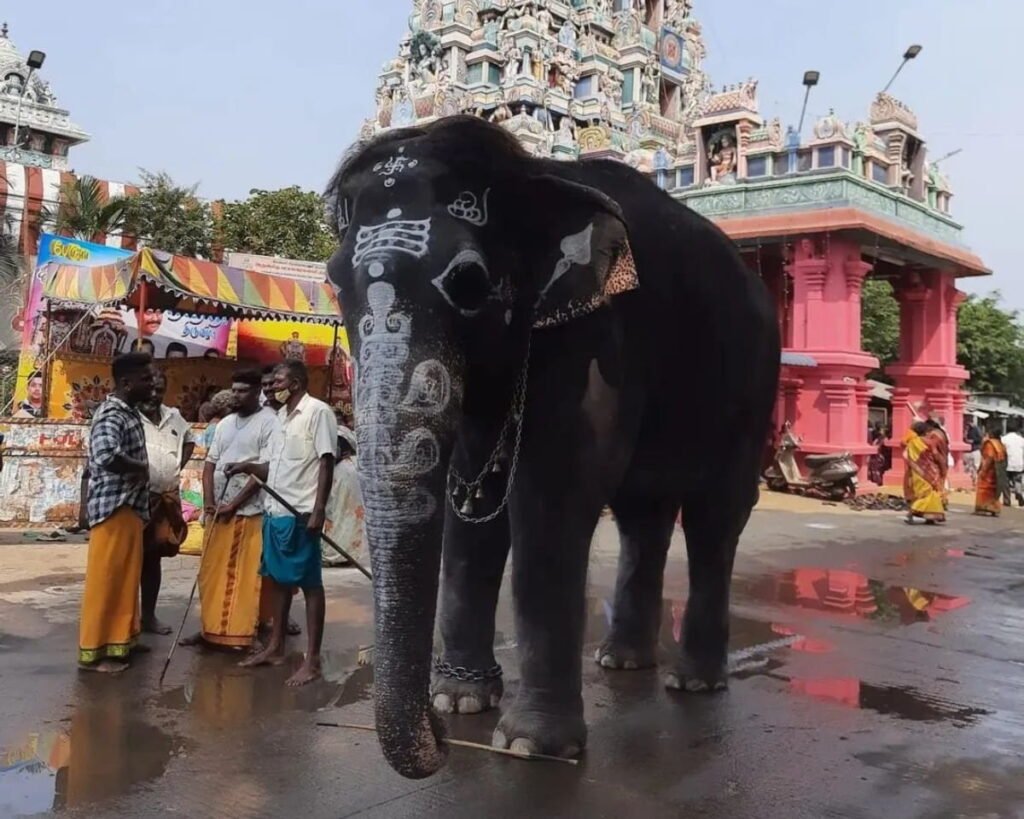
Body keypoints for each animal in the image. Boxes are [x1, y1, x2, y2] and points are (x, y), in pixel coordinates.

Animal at [324, 115, 780, 780]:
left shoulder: (594, 337)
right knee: (644, 517)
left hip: (752, 387)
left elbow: (550, 499)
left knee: (714, 520)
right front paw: (461, 700)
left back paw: (693, 683)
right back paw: (621, 664)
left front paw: (529, 746)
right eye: (333, 283)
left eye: (468, 283)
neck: (530, 170)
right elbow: (470, 504)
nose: (437, 735)